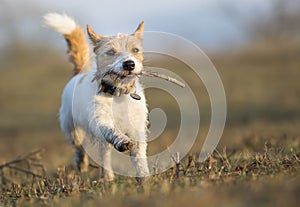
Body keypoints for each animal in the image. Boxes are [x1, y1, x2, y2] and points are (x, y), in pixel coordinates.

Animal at [44, 12, 149, 181]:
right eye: (111, 52)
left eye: (135, 49)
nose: (129, 64)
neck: (118, 94)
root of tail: (80, 72)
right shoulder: (101, 120)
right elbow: (112, 130)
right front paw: (122, 141)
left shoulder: (136, 129)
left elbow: (139, 156)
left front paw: (144, 178)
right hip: (73, 129)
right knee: (80, 150)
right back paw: (85, 167)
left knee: (103, 155)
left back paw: (107, 176)